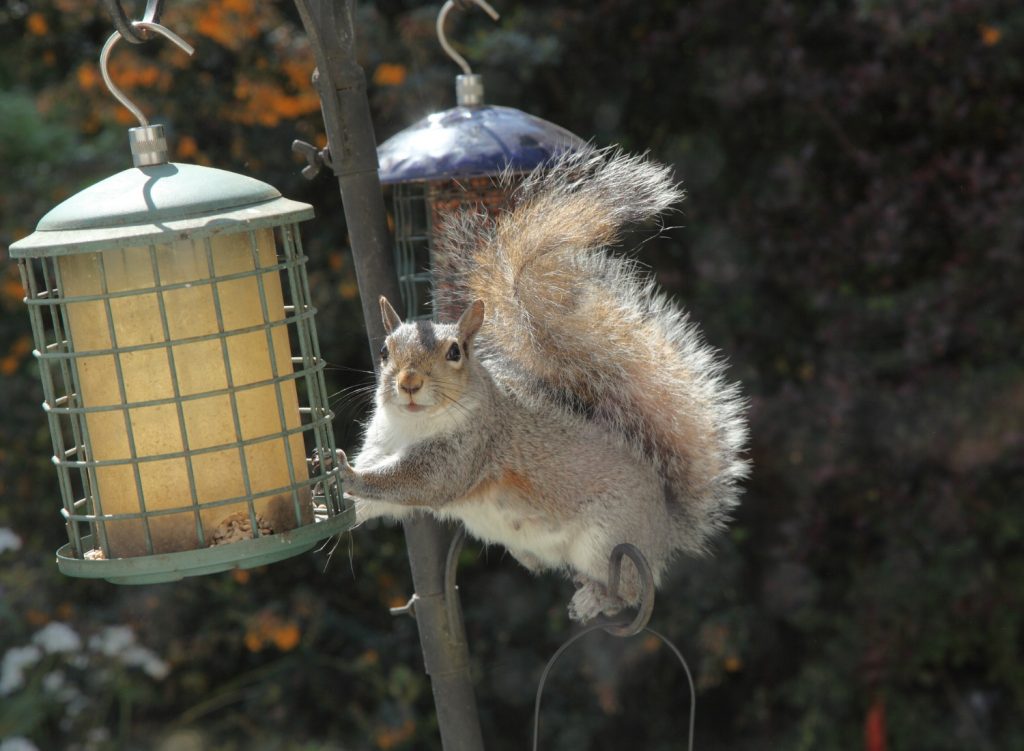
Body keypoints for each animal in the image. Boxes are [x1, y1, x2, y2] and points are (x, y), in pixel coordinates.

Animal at [339, 146, 749, 622]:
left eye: (455, 352)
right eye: (385, 351)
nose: (408, 383)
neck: (412, 424)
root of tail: (665, 528)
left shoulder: (473, 448)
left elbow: (419, 483)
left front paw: (349, 477)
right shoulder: (382, 442)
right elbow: (379, 499)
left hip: (608, 540)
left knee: (630, 591)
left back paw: (596, 599)